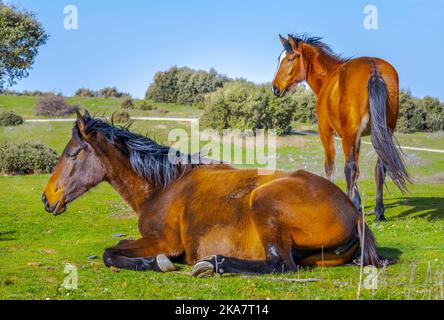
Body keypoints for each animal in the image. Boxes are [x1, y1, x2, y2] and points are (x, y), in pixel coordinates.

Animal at [42, 112, 386, 276]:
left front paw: (157, 263)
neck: (164, 186)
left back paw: (213, 263)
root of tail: (354, 211)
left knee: (279, 264)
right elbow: (116, 247)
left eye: (73, 153)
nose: (47, 198)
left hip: (265, 203)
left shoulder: (164, 241)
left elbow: (110, 253)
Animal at [272, 33, 412, 221]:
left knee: (350, 168)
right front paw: (358, 202)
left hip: (349, 135)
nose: (275, 88)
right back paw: (378, 212)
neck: (328, 78)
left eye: (290, 58)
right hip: (381, 134)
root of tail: (374, 68)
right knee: (379, 168)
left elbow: (330, 167)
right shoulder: (358, 138)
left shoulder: (326, 133)